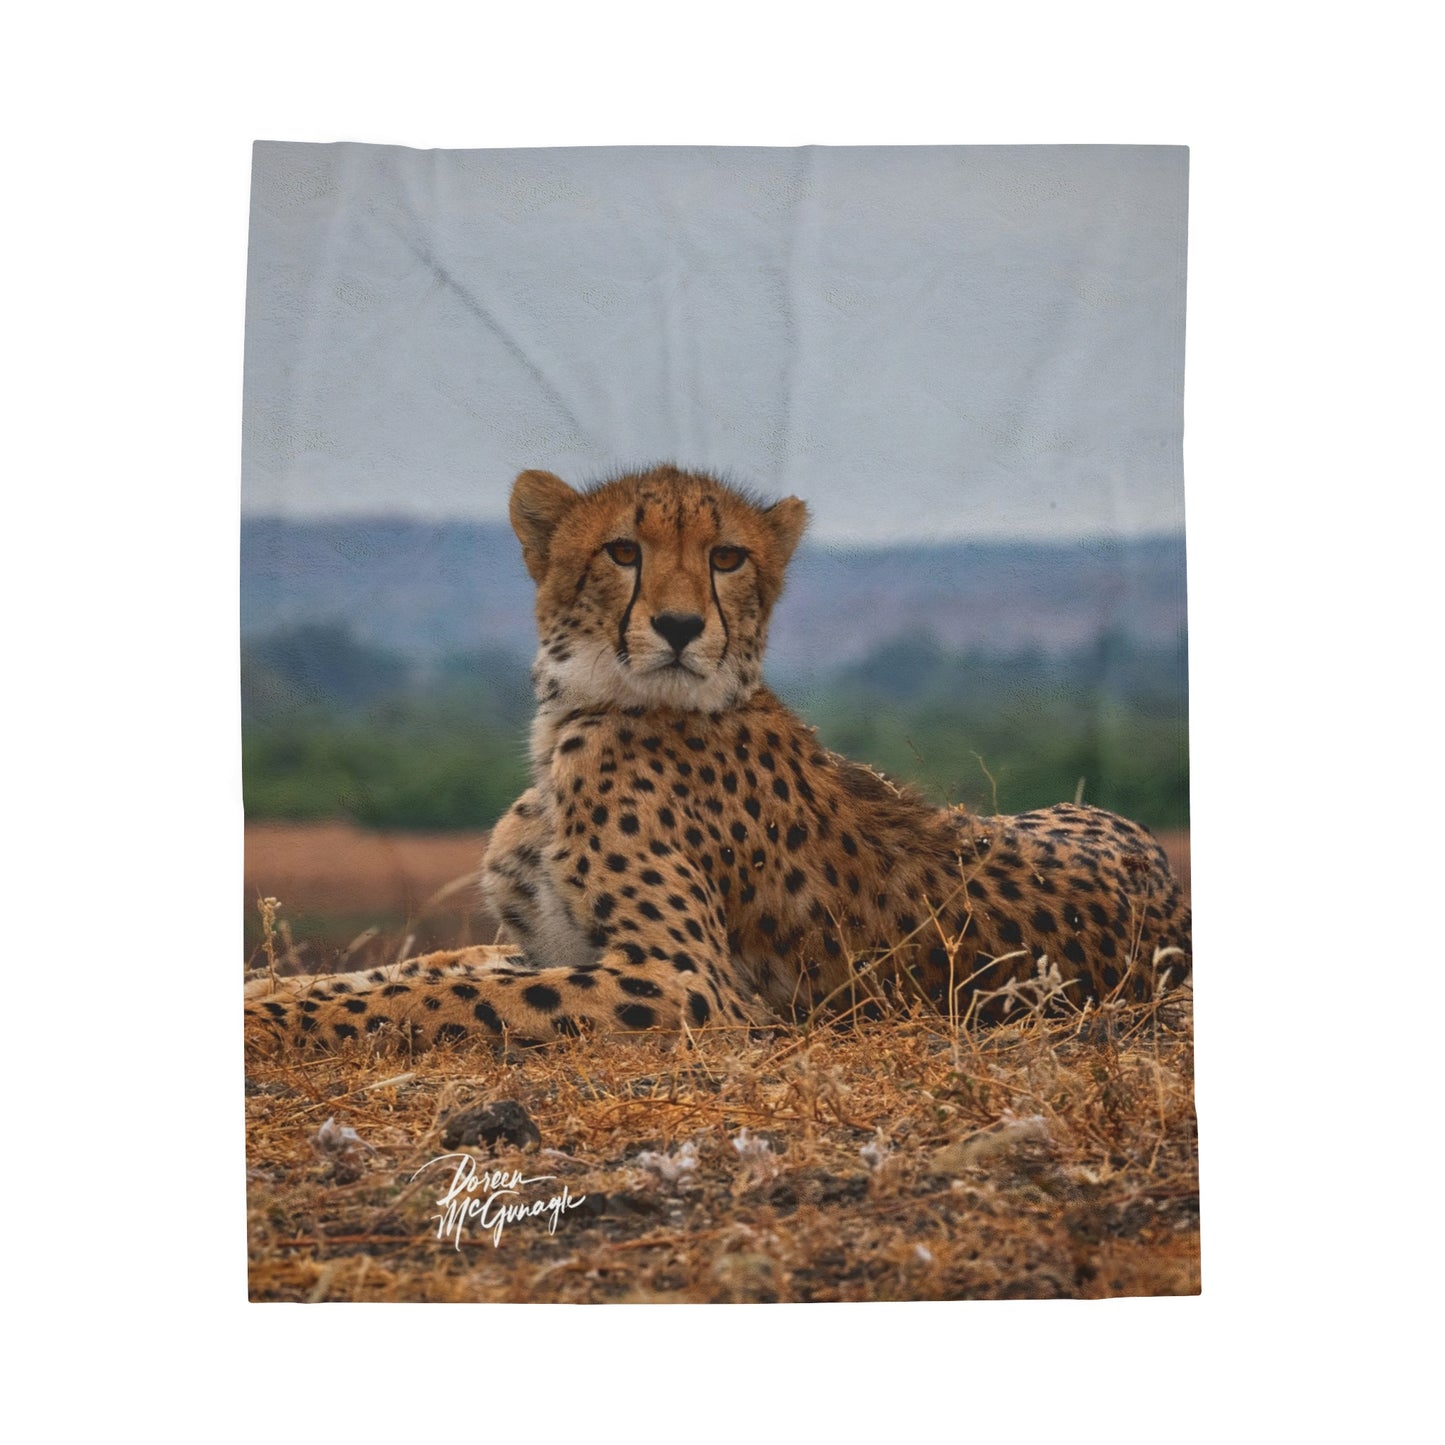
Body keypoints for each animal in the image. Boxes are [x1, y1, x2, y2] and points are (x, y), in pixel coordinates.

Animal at [245, 463, 1191, 1056]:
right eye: (622, 550)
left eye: (726, 556)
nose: (677, 625)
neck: (577, 717)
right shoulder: (549, 945)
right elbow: (423, 967)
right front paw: (267, 993)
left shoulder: (683, 982)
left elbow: (433, 995)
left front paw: (268, 1019)